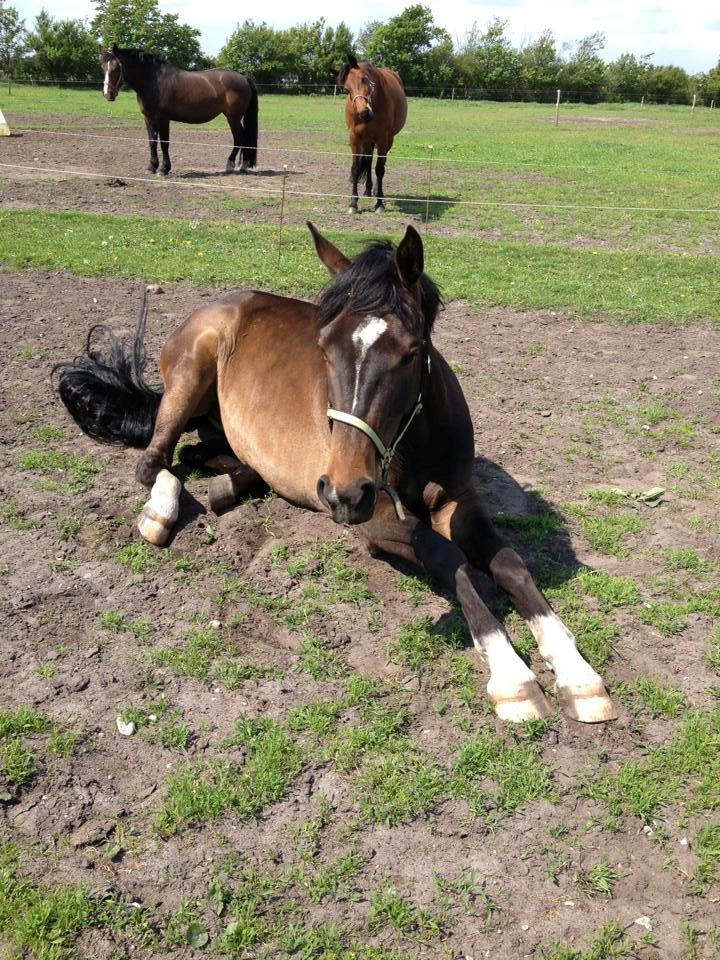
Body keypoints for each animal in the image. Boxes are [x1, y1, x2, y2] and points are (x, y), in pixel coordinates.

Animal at [56, 221, 616, 724]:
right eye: (324, 348)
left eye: (412, 351)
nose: (344, 491)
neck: (416, 437)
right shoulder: (377, 518)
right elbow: (449, 558)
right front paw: (512, 677)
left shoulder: (458, 501)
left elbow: (510, 564)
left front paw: (577, 674)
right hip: (190, 376)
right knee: (155, 462)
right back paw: (161, 512)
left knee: (206, 456)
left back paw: (225, 486)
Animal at [98, 46, 258, 176]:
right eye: (103, 68)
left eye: (116, 68)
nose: (107, 94)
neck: (154, 81)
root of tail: (244, 77)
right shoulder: (148, 118)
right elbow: (152, 142)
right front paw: (151, 167)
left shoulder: (163, 119)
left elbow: (164, 143)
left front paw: (164, 169)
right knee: (242, 137)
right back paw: (242, 165)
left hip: (233, 117)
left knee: (240, 137)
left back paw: (232, 165)